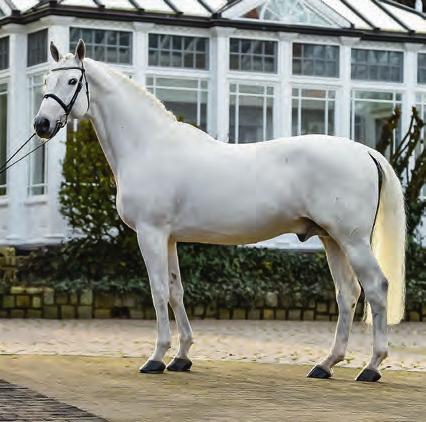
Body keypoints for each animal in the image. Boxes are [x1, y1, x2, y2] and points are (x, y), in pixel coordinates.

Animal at [34, 40, 406, 382]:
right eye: (45, 80)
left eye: (72, 81)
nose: (42, 124)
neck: (148, 145)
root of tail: (365, 152)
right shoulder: (169, 238)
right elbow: (176, 291)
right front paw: (181, 357)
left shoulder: (151, 233)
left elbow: (158, 291)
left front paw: (157, 357)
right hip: (332, 240)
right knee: (348, 294)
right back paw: (326, 364)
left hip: (352, 241)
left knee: (376, 288)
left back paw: (372, 366)